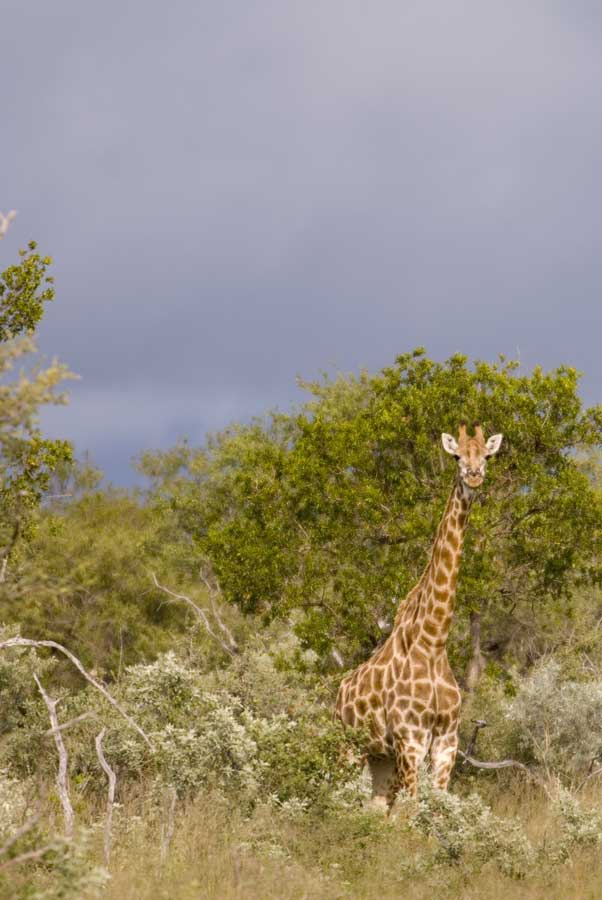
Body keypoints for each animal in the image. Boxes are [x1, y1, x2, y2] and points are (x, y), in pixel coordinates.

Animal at [332, 426, 502, 804]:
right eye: (457, 456)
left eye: (486, 455)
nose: (474, 476)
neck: (433, 640)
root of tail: (338, 693)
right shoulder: (410, 739)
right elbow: (411, 809)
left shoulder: (447, 741)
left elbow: (434, 807)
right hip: (350, 747)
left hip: (379, 757)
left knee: (376, 806)